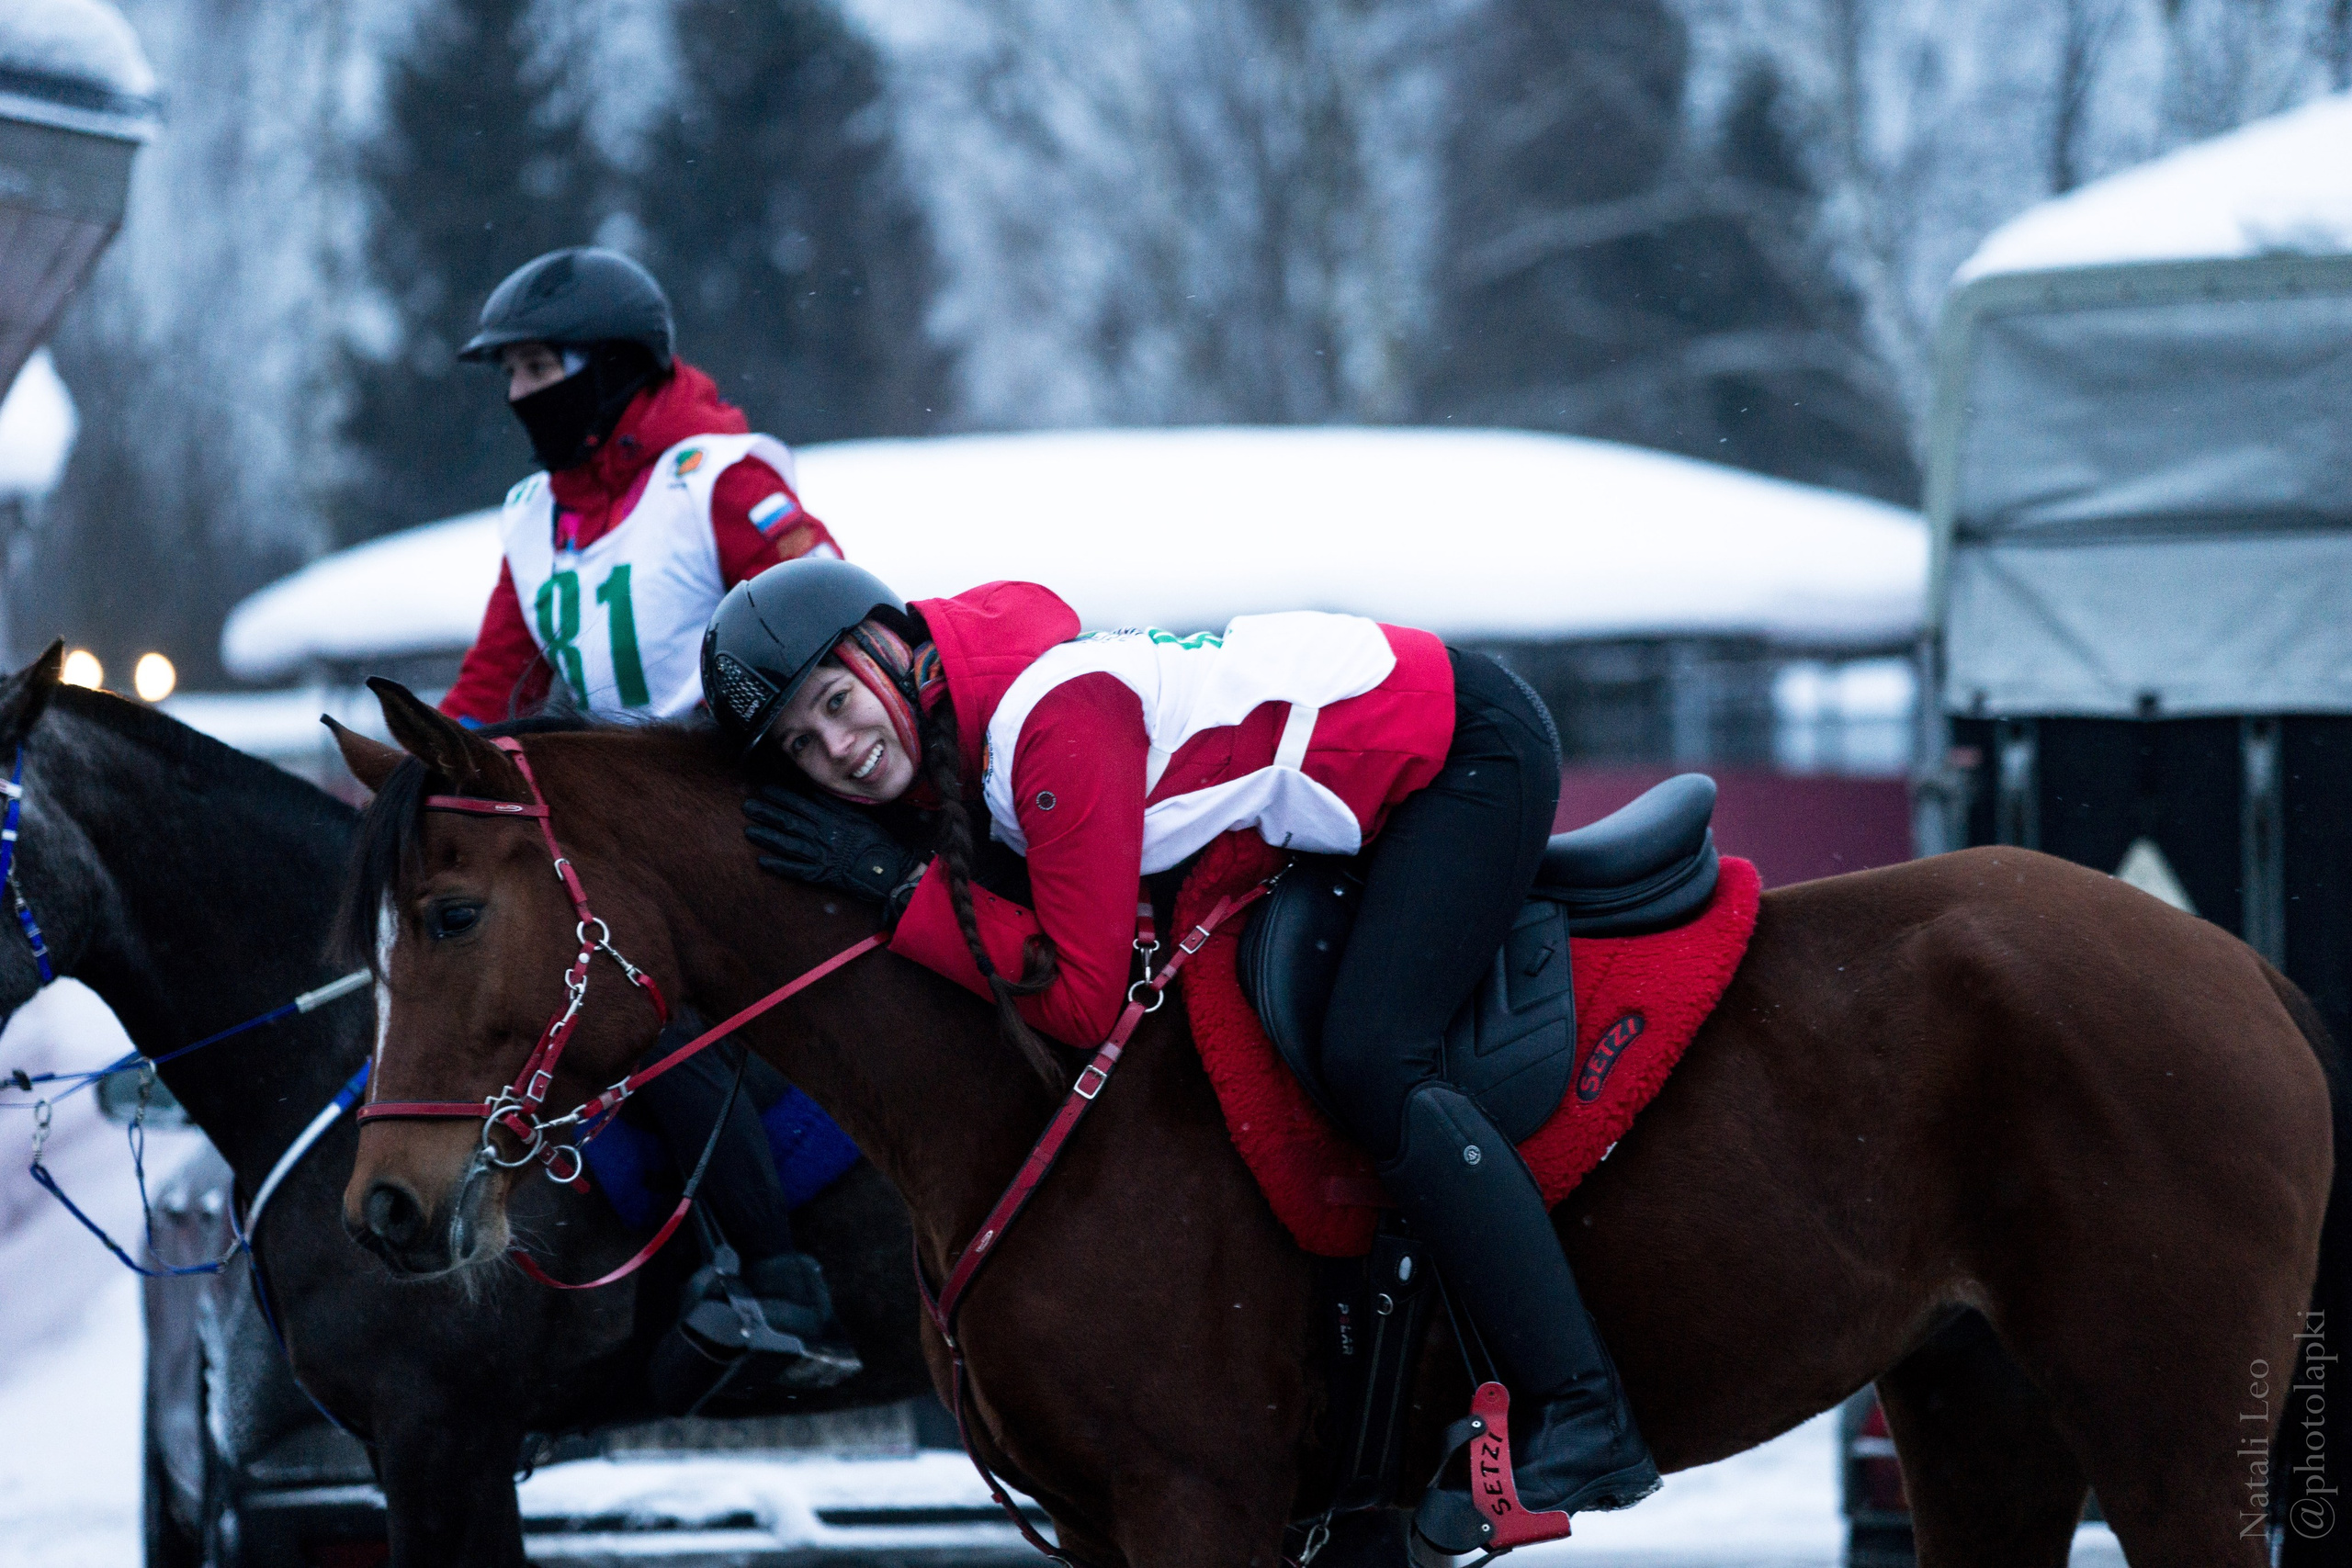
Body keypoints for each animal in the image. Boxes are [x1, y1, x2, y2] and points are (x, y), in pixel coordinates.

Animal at [335, 678, 2347, 1568]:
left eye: (448, 911)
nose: (383, 1208)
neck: (1037, 1072)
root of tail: (2243, 973)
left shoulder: (1198, 1504)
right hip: (1978, 1412)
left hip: (2174, 1436)